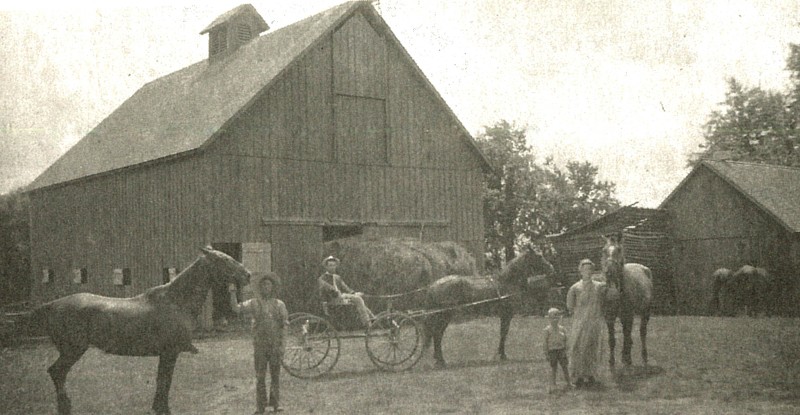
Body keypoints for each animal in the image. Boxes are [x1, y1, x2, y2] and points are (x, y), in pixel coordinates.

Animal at [21, 247, 250, 415]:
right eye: (224, 260)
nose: (247, 275)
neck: (176, 301)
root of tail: (53, 305)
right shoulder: (169, 352)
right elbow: (164, 382)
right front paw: (163, 409)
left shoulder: (167, 353)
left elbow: (162, 381)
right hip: (73, 350)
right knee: (57, 373)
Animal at [418, 245, 556, 368]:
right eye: (539, 256)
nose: (551, 269)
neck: (507, 282)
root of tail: (434, 285)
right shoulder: (507, 314)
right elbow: (504, 333)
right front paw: (502, 355)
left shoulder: (504, 315)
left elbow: (503, 333)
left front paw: (500, 354)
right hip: (445, 315)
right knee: (437, 335)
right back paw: (441, 360)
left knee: (437, 335)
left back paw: (439, 359)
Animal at [604, 234, 652, 368]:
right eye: (604, 250)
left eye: (619, 250)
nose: (608, 272)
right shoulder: (610, 317)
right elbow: (612, 339)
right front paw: (612, 361)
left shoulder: (629, 314)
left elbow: (627, 335)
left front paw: (627, 359)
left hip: (645, 312)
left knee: (642, 333)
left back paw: (643, 356)